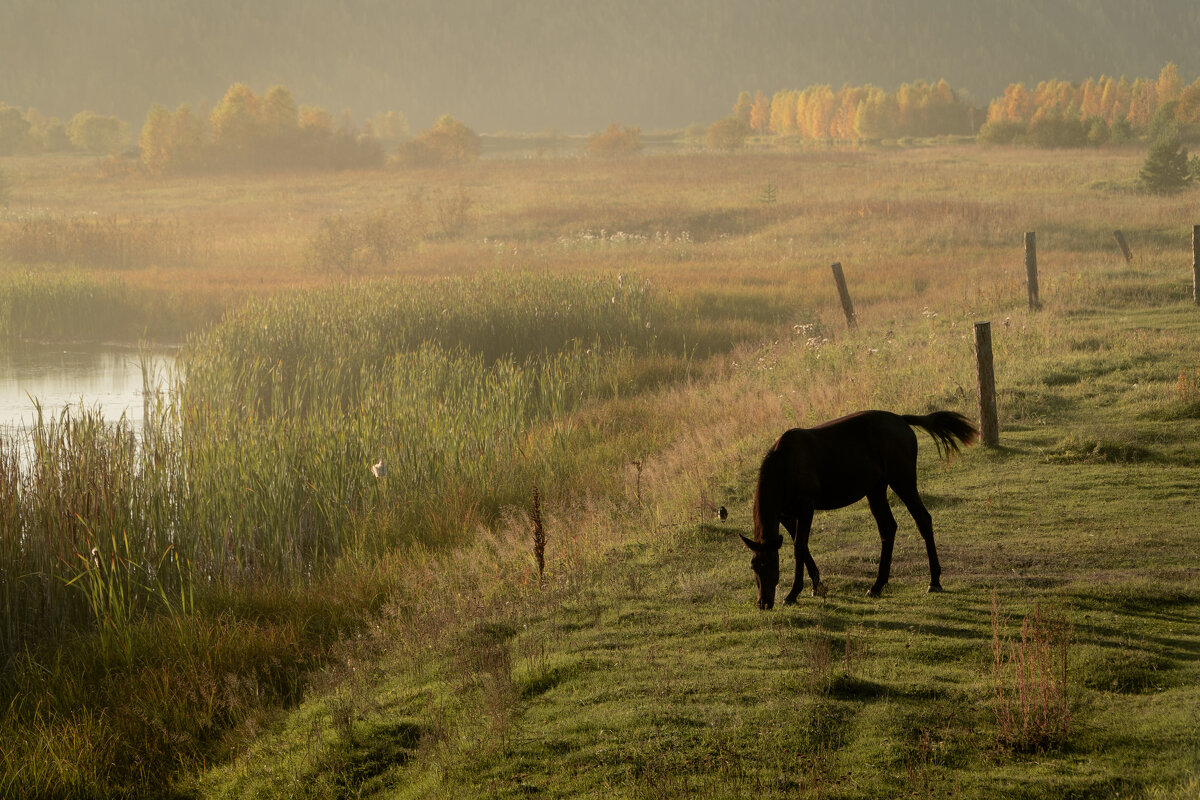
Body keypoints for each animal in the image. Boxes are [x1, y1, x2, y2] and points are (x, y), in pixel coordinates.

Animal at [739, 410, 974, 609]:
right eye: (753, 567)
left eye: (772, 565)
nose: (764, 603)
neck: (786, 464)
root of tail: (901, 419)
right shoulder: (786, 515)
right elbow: (803, 547)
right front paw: (817, 586)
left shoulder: (806, 508)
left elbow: (799, 547)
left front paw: (793, 594)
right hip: (876, 489)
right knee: (888, 528)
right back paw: (877, 586)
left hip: (903, 481)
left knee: (923, 519)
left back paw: (934, 581)